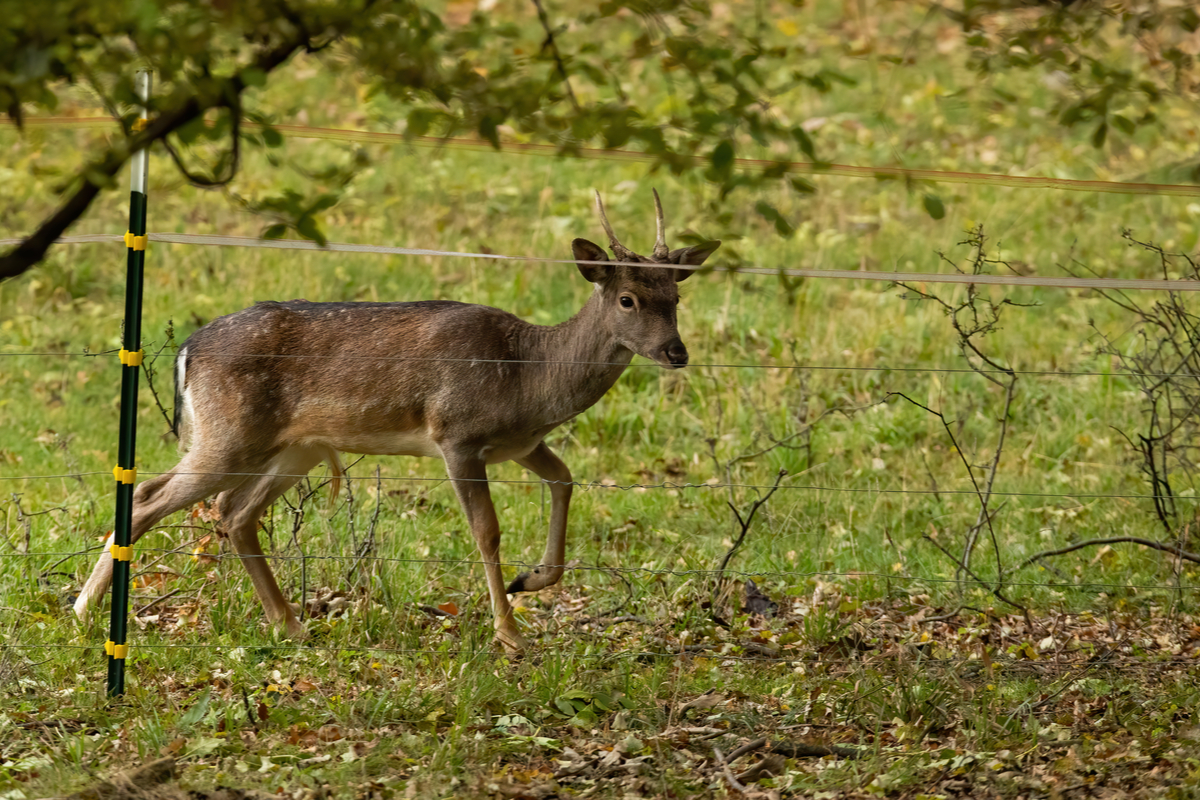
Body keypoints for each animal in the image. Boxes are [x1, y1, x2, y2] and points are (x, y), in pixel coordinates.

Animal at [77, 191, 720, 652]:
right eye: (628, 299)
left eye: (675, 297)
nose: (676, 352)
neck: (531, 376)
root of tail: (187, 350)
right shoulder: (457, 433)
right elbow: (486, 531)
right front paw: (510, 633)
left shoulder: (519, 442)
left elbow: (564, 481)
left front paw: (530, 581)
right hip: (228, 434)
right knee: (150, 496)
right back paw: (84, 613)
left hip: (292, 447)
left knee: (232, 513)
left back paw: (289, 624)